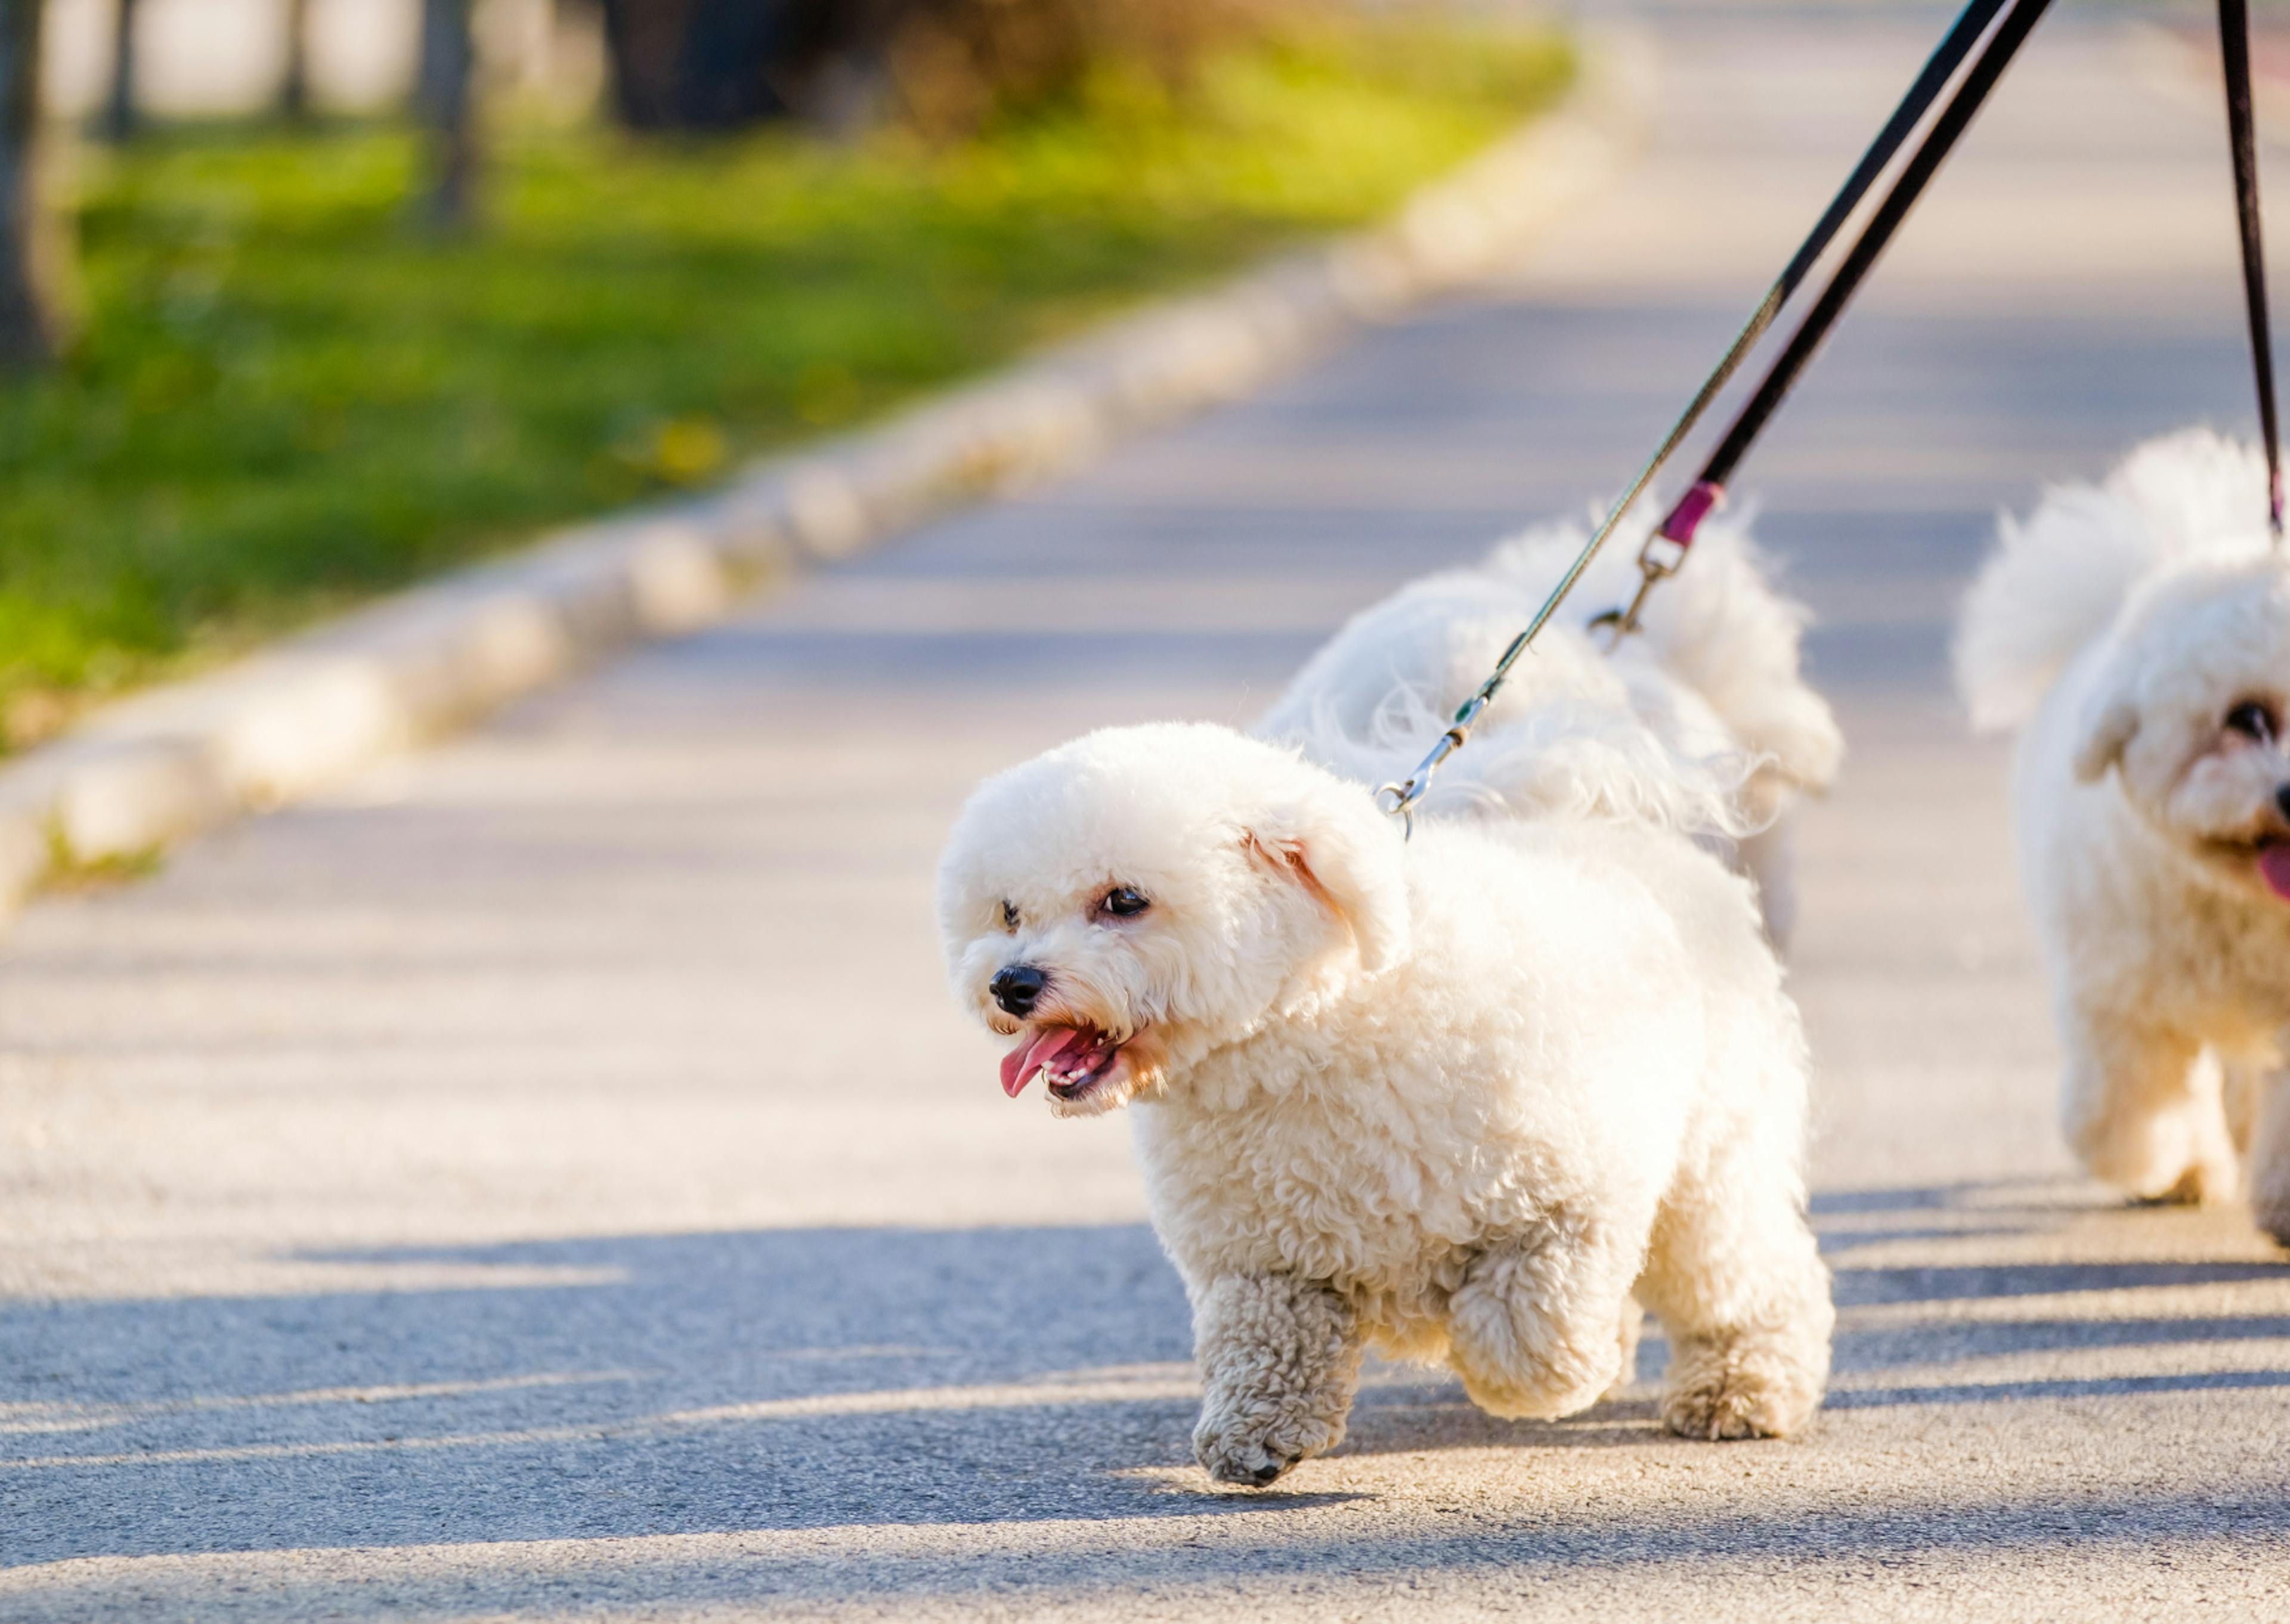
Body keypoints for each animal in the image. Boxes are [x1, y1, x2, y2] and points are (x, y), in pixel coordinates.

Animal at [939, 724, 1832, 1484]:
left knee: (1749, 1275)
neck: (1312, 1027)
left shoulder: (1574, 1202)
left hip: (1712, 1154)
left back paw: (1739, 1386)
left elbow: (1526, 1336)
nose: (1010, 984)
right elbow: (1266, 1346)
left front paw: (1521, 1372)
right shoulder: (1259, 1255)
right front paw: (1256, 1435)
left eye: (1125, 900)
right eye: (1010, 911)